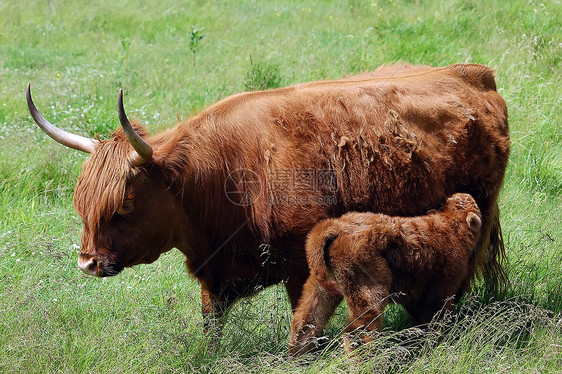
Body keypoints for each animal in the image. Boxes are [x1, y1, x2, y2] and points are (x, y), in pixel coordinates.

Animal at [288, 193, 482, 354]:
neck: (451, 224)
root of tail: (334, 226)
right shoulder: (442, 289)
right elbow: (435, 320)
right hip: (367, 286)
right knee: (357, 332)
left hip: (320, 285)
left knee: (305, 321)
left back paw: (297, 357)